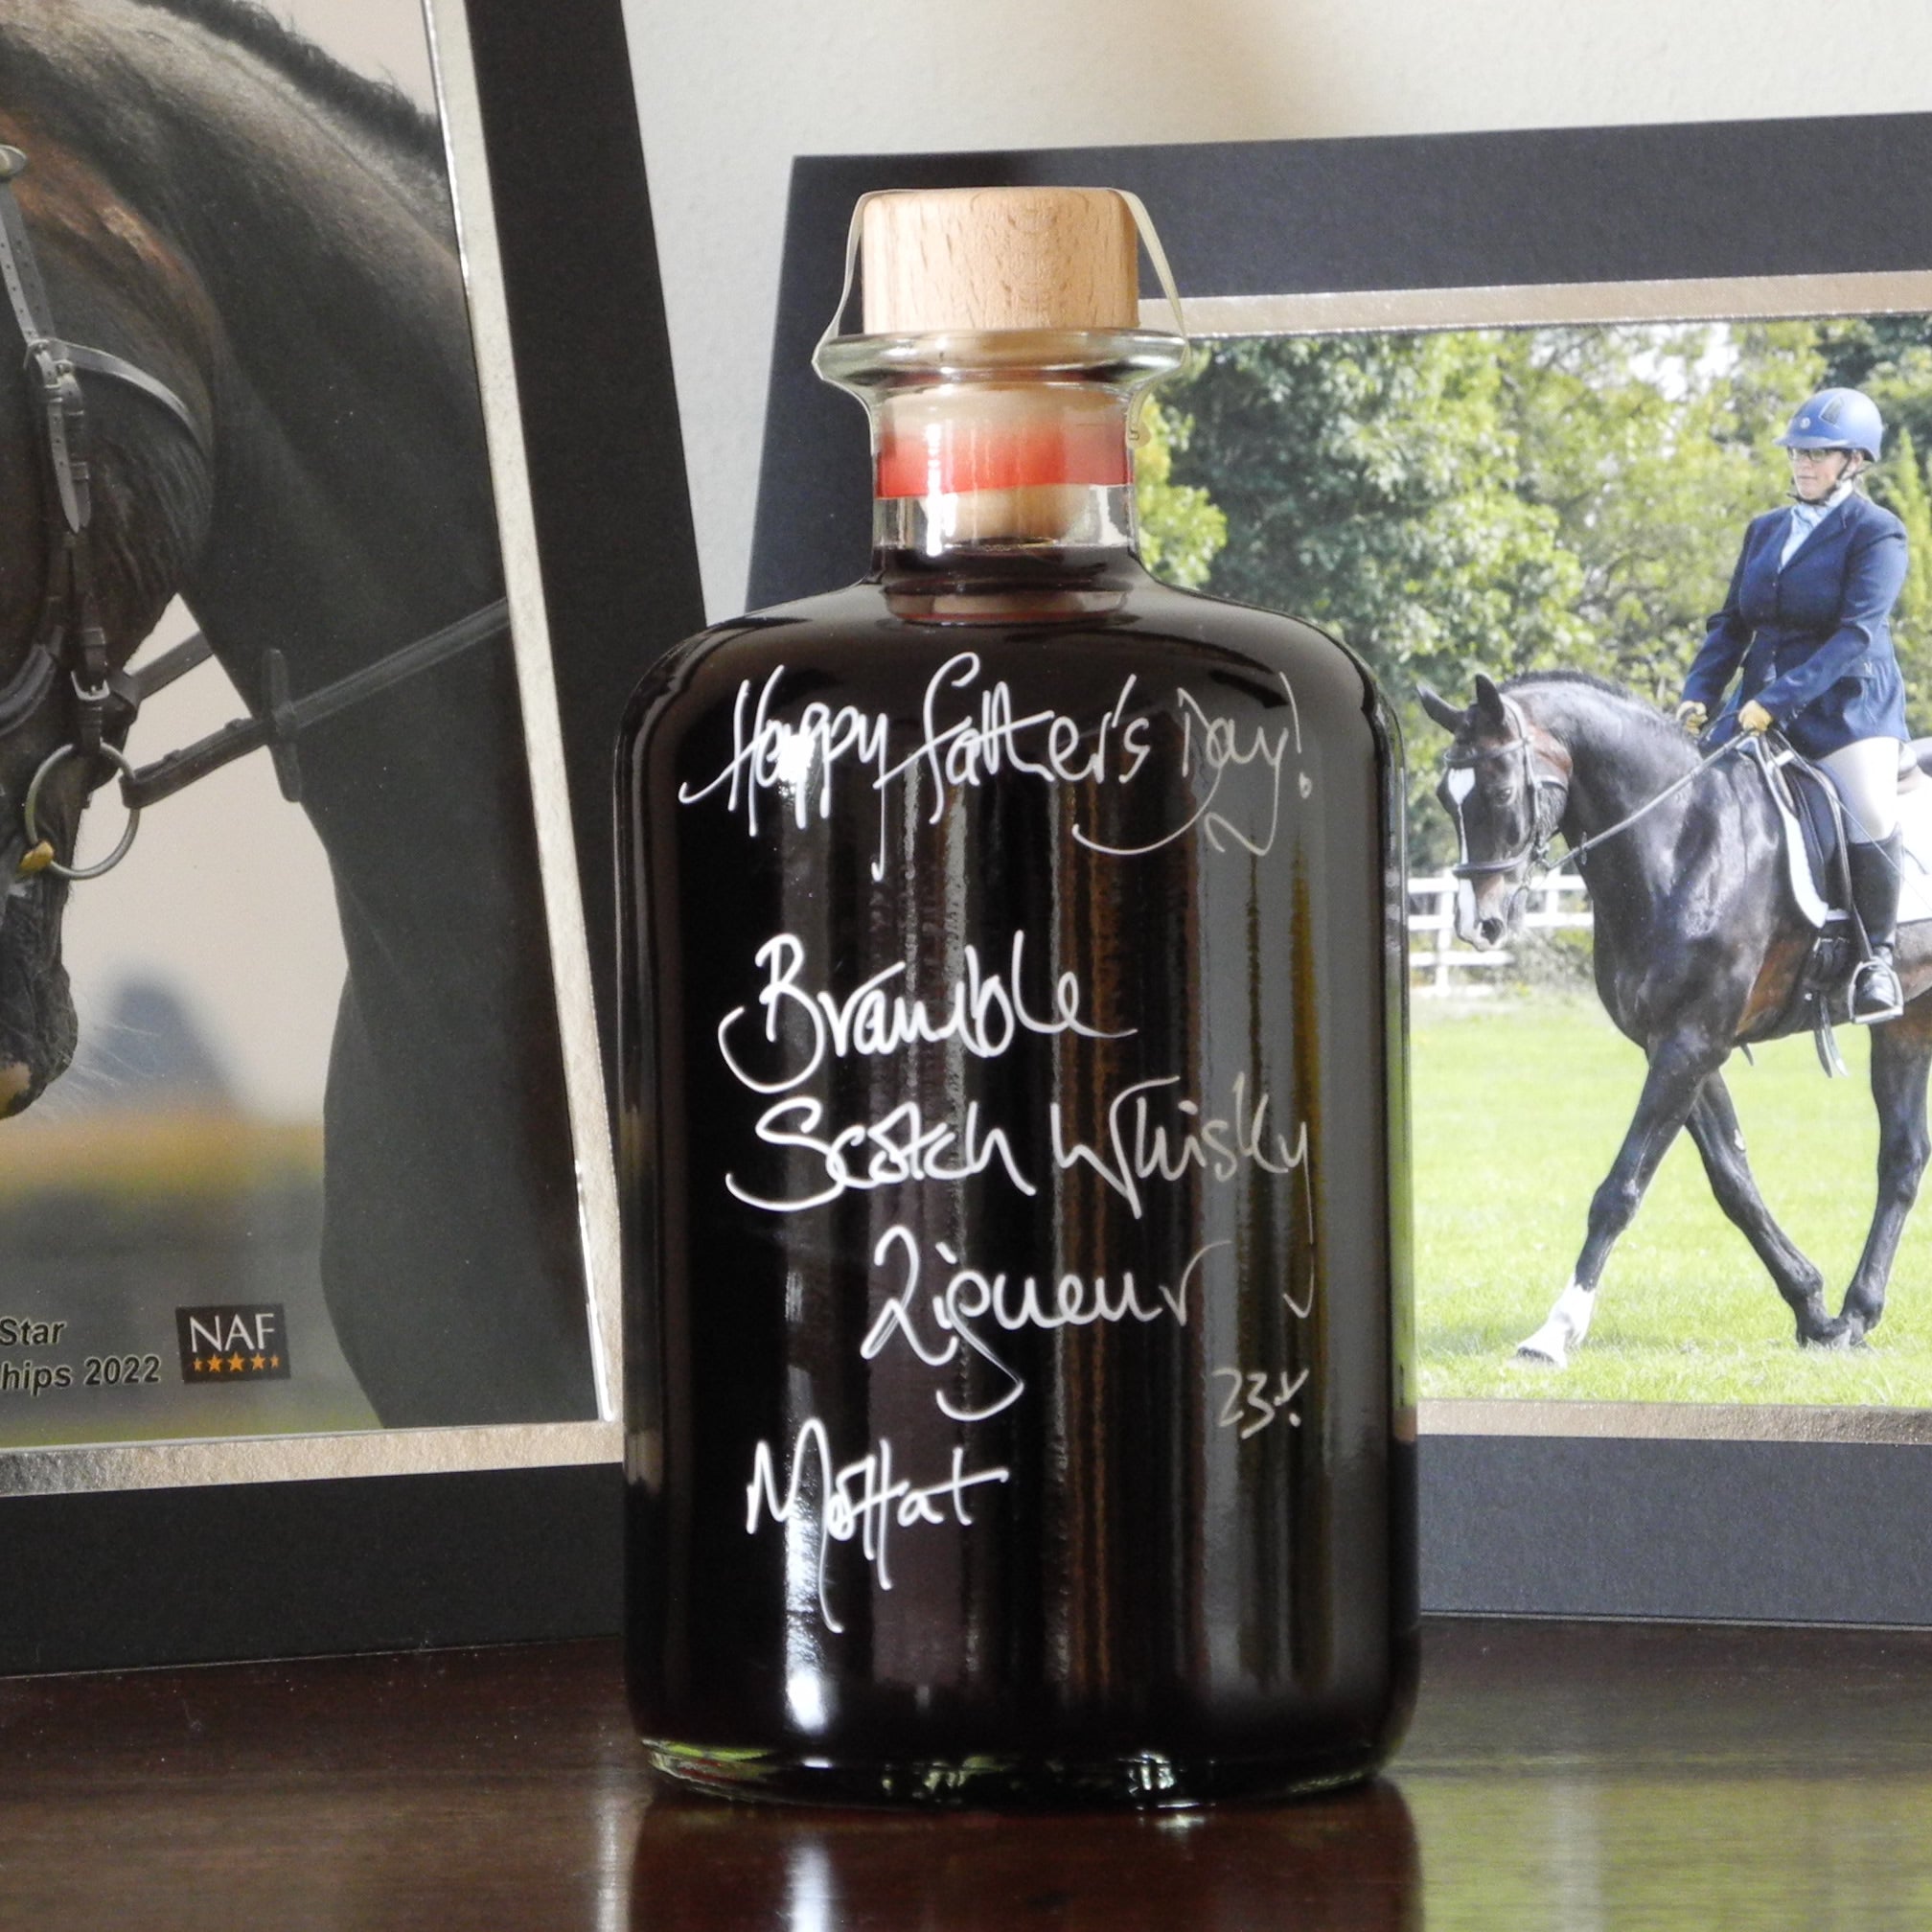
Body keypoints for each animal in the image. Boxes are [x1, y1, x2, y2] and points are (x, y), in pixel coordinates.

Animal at [1421, 672, 1932, 1368]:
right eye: (1446, 797)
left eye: (1500, 789)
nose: (1479, 924)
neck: (1685, 840)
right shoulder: (1676, 1044)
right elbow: (1733, 1183)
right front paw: (1813, 1309)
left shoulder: (1691, 1043)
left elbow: (1620, 1189)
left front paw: (1556, 1331)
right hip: (1907, 1022)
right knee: (1903, 1159)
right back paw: (1858, 1312)